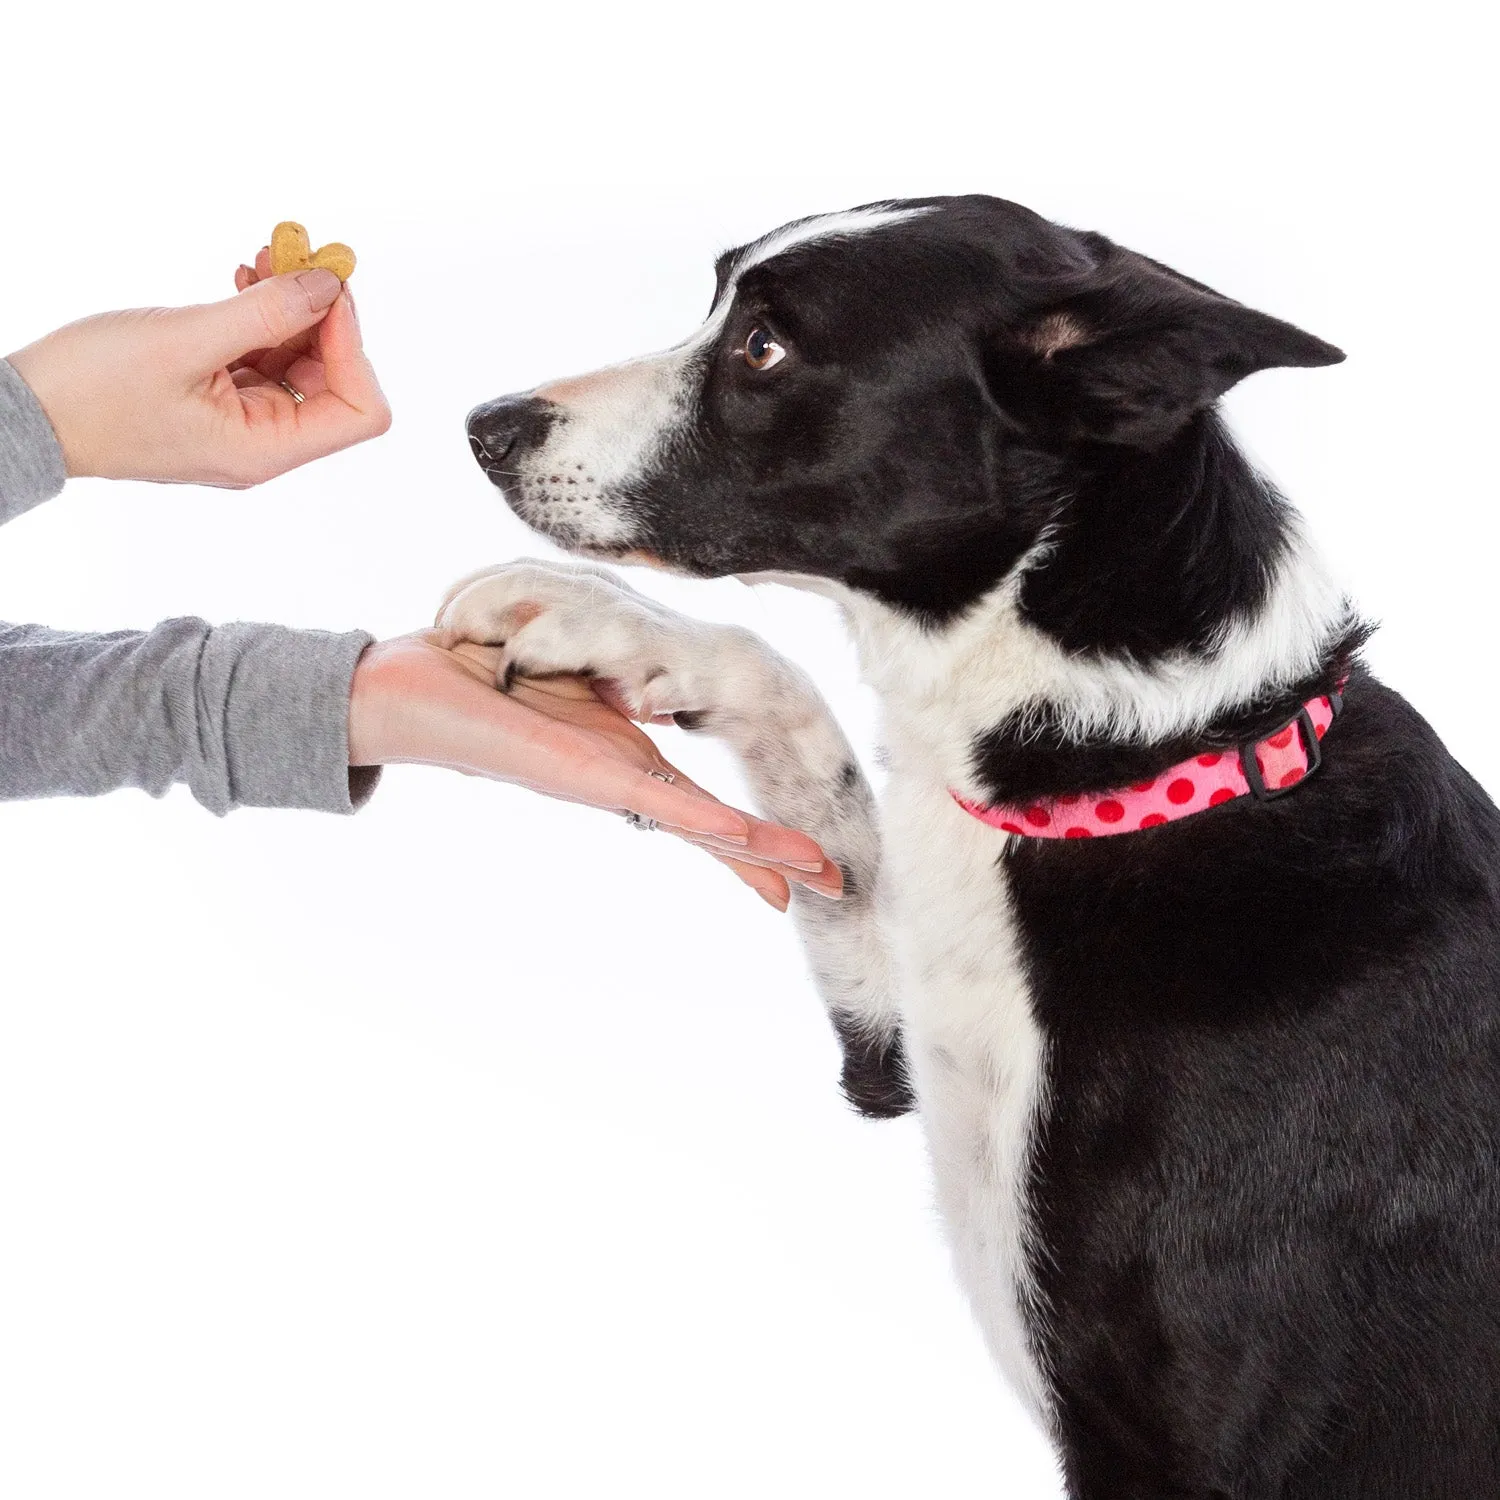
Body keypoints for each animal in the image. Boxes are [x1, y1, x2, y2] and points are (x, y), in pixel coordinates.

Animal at [444, 202, 1500, 1500]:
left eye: (764, 348)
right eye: (718, 301)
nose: (485, 426)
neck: (1159, 771)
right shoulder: (902, 1037)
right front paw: (618, 629)